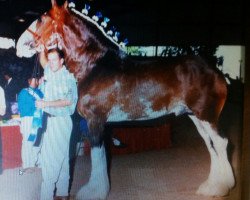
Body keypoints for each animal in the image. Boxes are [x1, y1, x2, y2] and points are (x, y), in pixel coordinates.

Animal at [15, 0, 234, 199]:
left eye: (42, 18)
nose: (19, 45)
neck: (93, 65)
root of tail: (215, 71)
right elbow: (102, 156)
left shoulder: (95, 121)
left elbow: (97, 155)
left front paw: (94, 192)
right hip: (195, 117)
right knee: (210, 144)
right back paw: (210, 186)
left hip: (207, 116)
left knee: (220, 142)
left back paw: (221, 187)